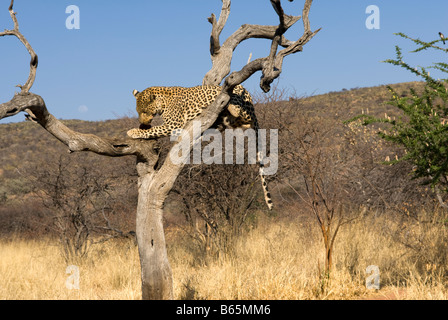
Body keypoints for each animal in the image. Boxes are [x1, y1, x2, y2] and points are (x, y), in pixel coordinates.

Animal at [126, 84, 272, 210]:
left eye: (145, 111)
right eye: (138, 112)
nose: (143, 122)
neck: (163, 102)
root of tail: (250, 98)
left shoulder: (173, 125)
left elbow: (153, 130)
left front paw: (133, 132)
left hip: (240, 96)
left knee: (243, 115)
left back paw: (232, 108)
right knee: (239, 123)